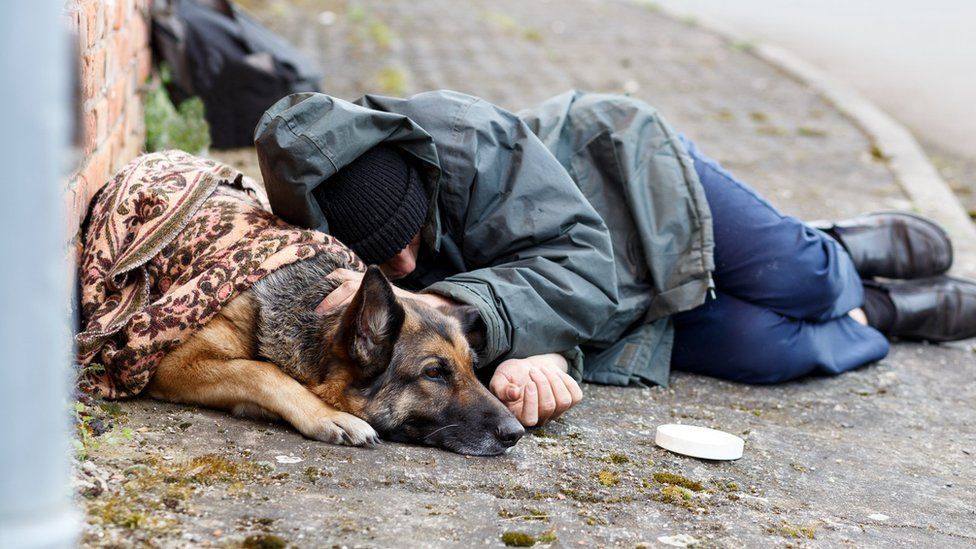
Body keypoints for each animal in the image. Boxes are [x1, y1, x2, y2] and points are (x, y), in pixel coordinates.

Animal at [145, 256, 524, 454]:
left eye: (473, 368)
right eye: (434, 372)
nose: (516, 433)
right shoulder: (173, 365)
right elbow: (260, 371)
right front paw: (328, 416)